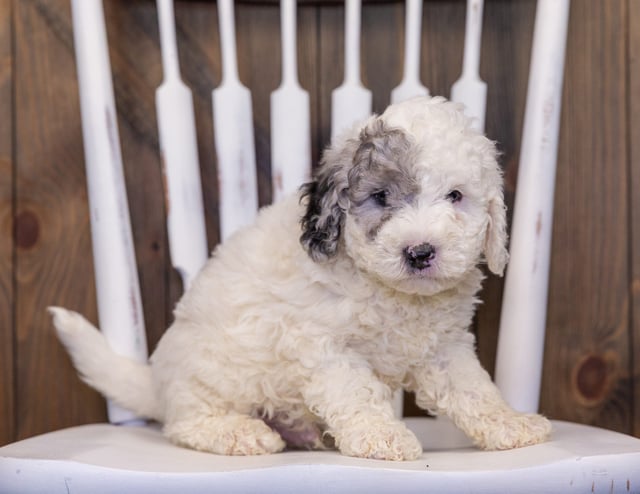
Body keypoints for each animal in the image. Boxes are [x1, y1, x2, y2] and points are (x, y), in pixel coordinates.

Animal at [51, 95, 552, 460]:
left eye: (456, 196)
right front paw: (382, 436)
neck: (393, 294)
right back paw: (240, 433)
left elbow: (474, 390)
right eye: (380, 196)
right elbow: (356, 393)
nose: (420, 252)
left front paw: (511, 423)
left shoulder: (445, 348)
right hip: (210, 375)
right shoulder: (325, 346)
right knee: (185, 424)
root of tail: (156, 383)